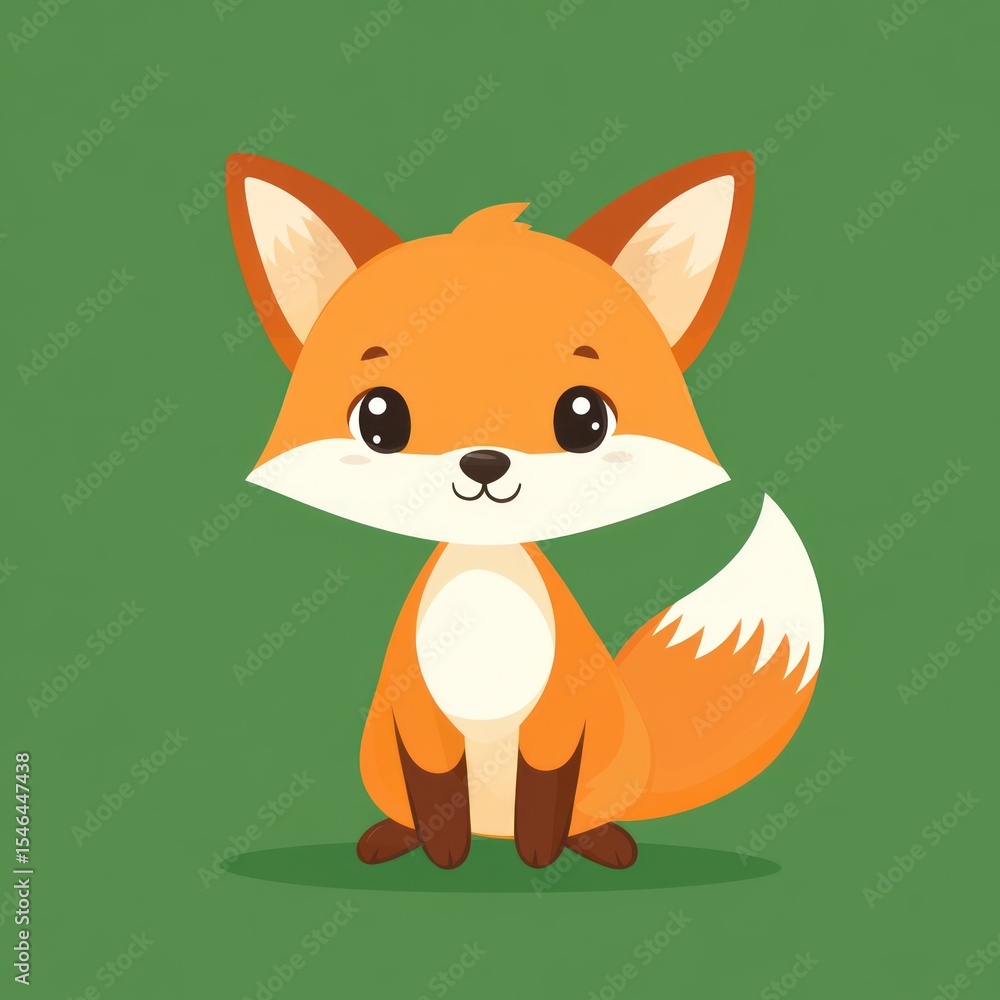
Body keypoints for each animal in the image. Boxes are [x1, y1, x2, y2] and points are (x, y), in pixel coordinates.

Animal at [224, 150, 824, 871]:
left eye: (583, 418)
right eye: (380, 418)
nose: (484, 463)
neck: (489, 582)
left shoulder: (561, 714)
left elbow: (545, 786)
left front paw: (539, 855)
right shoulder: (417, 716)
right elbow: (436, 788)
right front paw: (444, 854)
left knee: (587, 808)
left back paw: (596, 843)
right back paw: (396, 838)